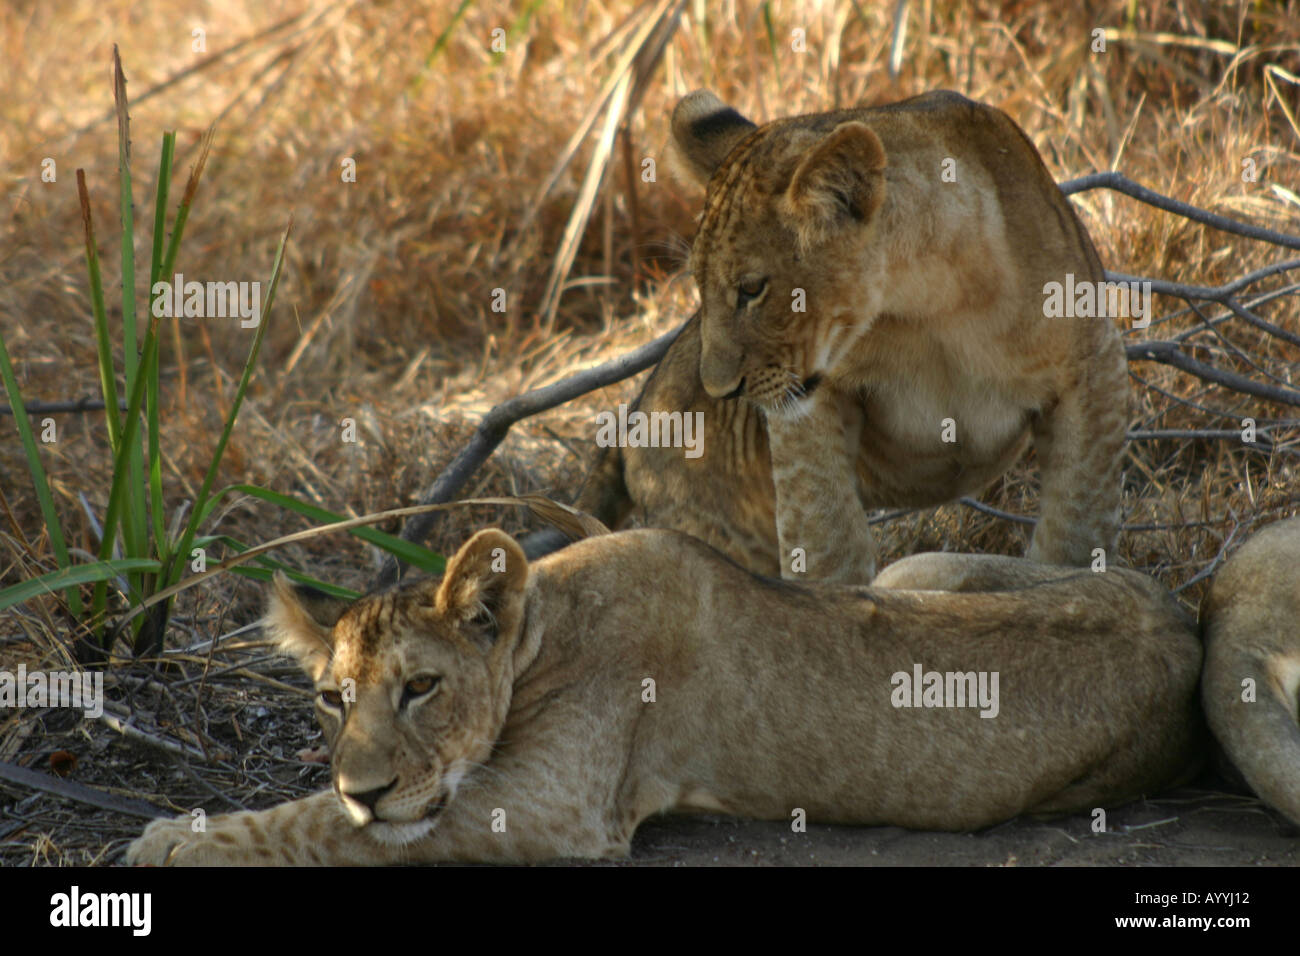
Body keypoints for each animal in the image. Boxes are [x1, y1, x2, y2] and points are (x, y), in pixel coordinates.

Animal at [129, 526, 1218, 866]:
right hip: (917, 568)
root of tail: (1182, 618)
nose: (366, 782)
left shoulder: (553, 808)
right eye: (330, 698)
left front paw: (176, 837)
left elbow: (326, 826)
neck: (546, 623)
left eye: (421, 687)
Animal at [560, 90, 1129, 584]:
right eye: (699, 288)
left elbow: (1076, 530)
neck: (929, 307)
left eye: (752, 289)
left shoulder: (1094, 372)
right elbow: (827, 536)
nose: (720, 392)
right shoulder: (809, 406)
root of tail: (635, 415)